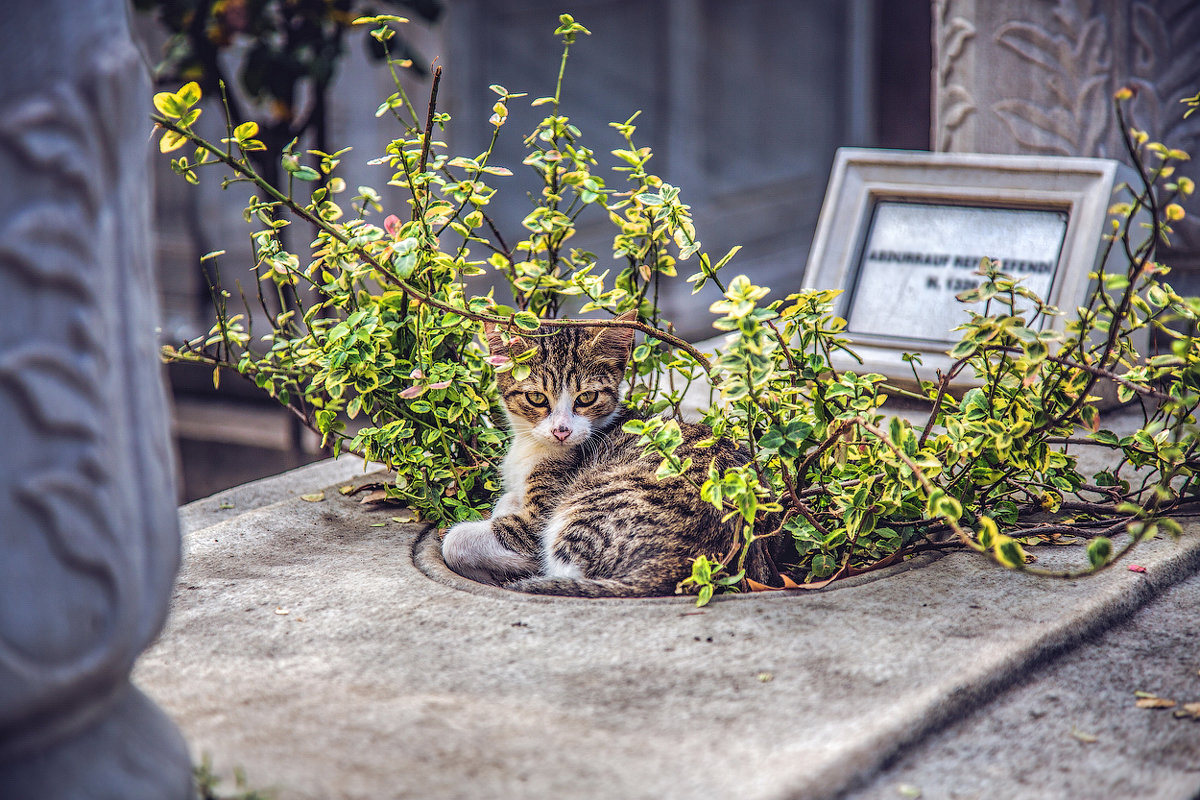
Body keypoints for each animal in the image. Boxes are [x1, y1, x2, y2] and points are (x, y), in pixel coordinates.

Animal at [441, 309, 777, 597]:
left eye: (587, 397)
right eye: (536, 398)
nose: (561, 431)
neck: (531, 446)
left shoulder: (538, 518)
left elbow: (460, 540)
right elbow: (507, 499)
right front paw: (507, 503)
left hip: (588, 509)